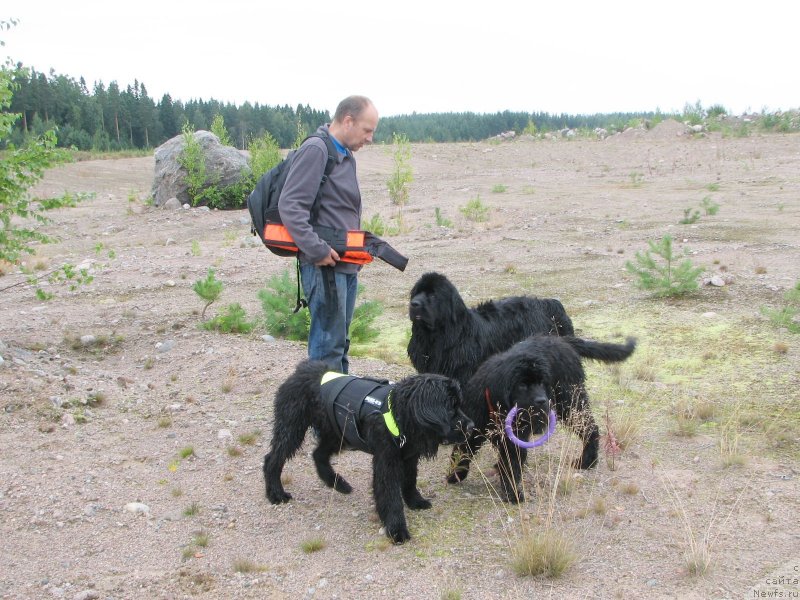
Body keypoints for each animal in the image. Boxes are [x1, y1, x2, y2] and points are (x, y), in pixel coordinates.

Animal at [262, 360, 476, 544]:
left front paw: (415, 501)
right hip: (293, 426)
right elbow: (390, 496)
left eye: (459, 405)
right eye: (451, 407)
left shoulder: (408, 457)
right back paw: (276, 493)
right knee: (273, 458)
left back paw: (337, 483)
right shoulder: (387, 461)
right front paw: (396, 529)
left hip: (337, 432)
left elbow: (409, 482)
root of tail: (301, 370)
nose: (472, 425)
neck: (399, 413)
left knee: (318, 454)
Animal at [446, 338, 636, 502]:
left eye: (542, 382)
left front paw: (512, 493)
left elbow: (511, 465)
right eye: (522, 384)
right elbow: (462, 451)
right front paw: (455, 474)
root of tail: (563, 341)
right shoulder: (473, 429)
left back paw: (587, 462)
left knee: (590, 428)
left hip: (570, 404)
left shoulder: (515, 439)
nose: (542, 400)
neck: (496, 406)